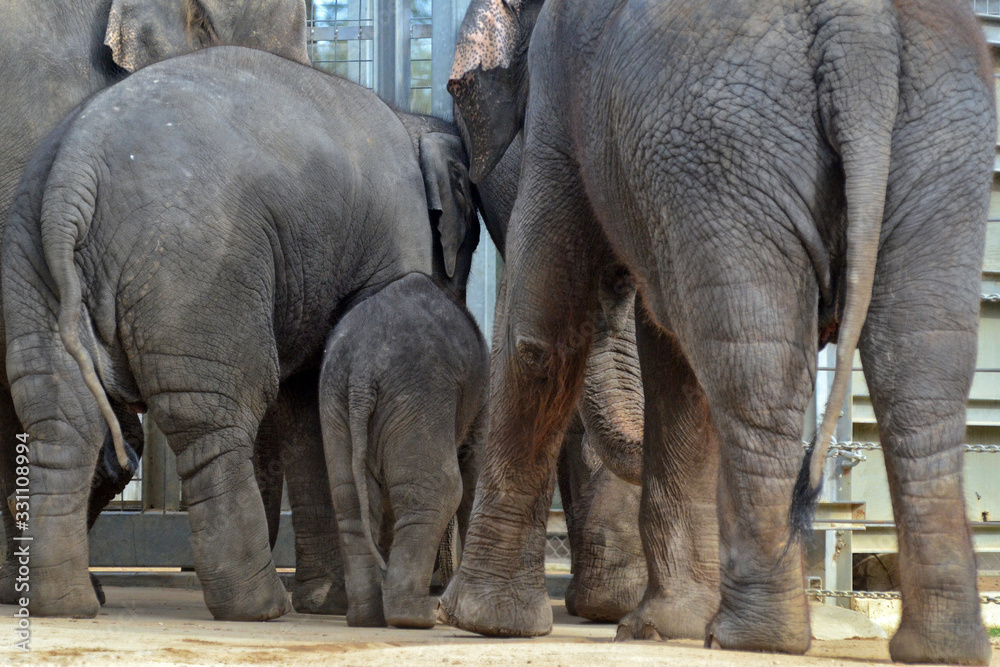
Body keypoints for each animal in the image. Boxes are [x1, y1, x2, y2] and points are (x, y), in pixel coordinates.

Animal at [319, 272, 488, 628]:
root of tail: (362, 372)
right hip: (417, 397)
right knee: (439, 490)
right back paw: (416, 617)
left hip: (335, 401)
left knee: (349, 500)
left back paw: (366, 618)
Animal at [439, 0, 995, 664]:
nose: (618, 281)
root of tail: (858, 32)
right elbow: (676, 366)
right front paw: (661, 626)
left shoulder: (557, 98)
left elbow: (538, 336)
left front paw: (480, 621)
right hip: (938, 147)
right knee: (921, 369)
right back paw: (939, 645)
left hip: (726, 149)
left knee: (758, 369)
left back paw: (751, 637)